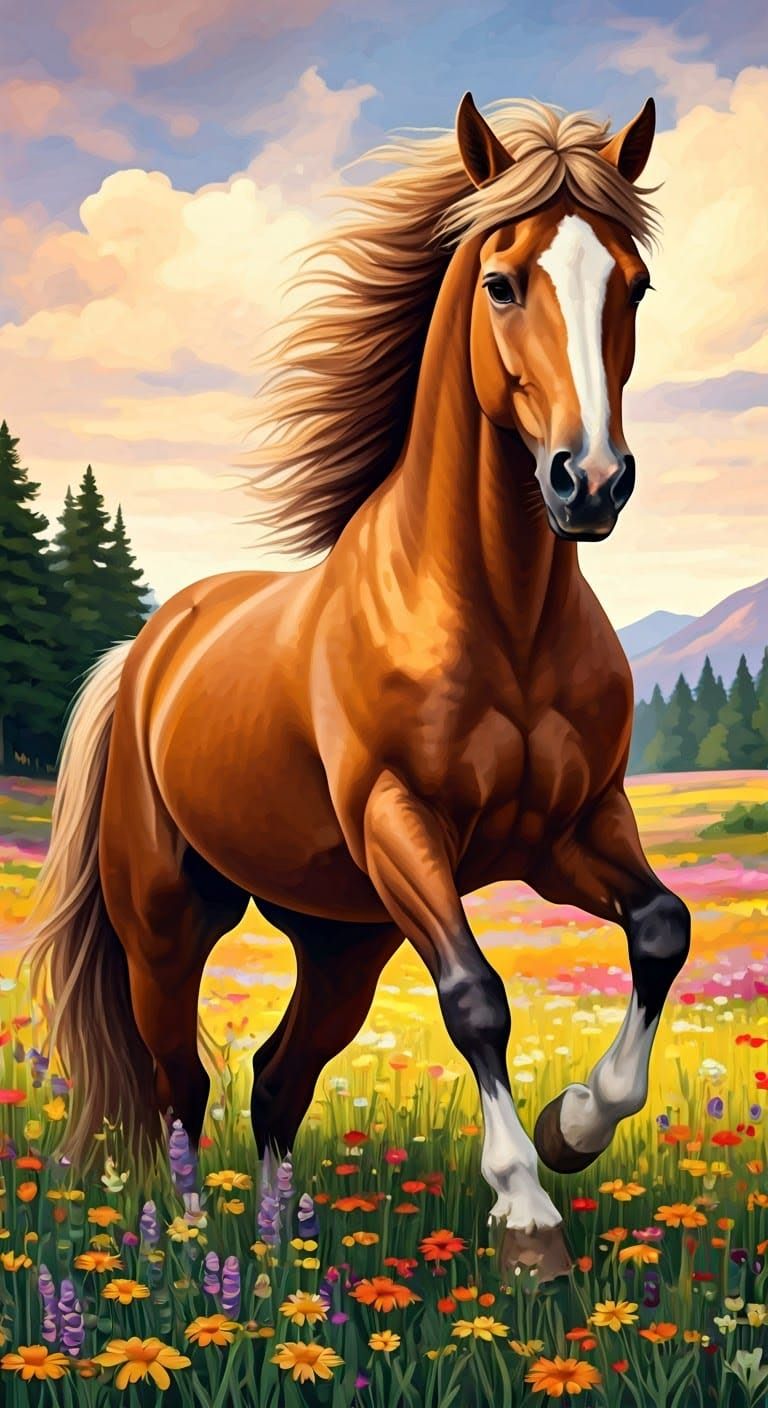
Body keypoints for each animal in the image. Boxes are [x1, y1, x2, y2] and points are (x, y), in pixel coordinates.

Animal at [29, 92, 690, 1281]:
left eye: (636, 283)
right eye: (502, 281)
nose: (590, 482)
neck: (499, 616)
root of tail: (146, 651)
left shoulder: (569, 832)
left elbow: (663, 928)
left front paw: (574, 1125)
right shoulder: (401, 823)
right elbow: (477, 998)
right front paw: (527, 1214)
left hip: (344, 937)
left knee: (279, 1076)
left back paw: (274, 1247)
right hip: (169, 921)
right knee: (178, 1082)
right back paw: (190, 1254)